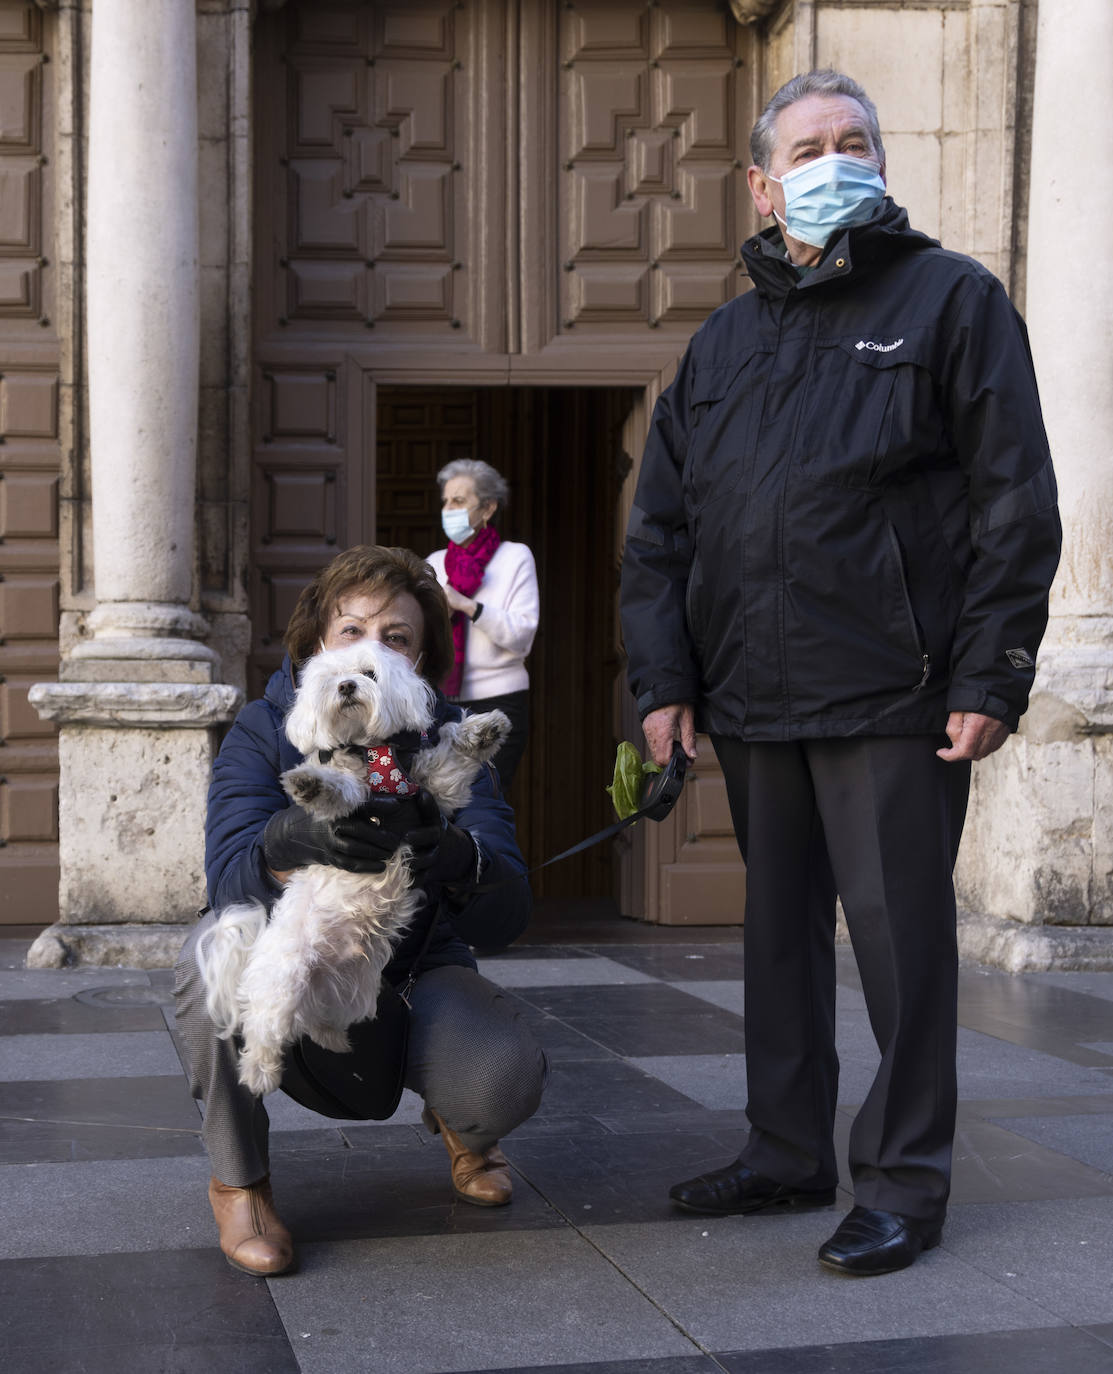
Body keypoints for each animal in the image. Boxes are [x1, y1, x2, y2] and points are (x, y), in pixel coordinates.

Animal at [197, 637, 508, 1099]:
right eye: (330, 679)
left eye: (369, 673)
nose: (346, 686)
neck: (370, 751)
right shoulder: (354, 795)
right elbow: (339, 789)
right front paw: (311, 783)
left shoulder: (431, 789)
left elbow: (450, 763)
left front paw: (482, 731)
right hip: (285, 976)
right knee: (265, 1027)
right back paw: (259, 1073)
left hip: (356, 993)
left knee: (318, 1024)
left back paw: (334, 1040)